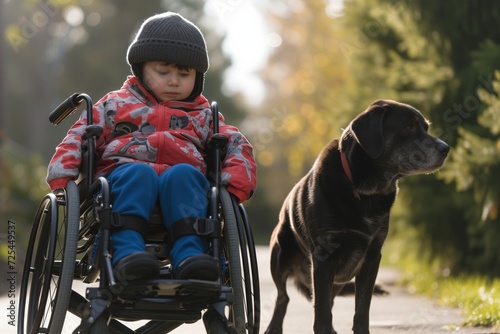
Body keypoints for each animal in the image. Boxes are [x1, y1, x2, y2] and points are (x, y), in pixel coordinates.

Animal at [266, 100, 450, 334]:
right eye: (408, 126)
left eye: (426, 127)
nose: (446, 148)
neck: (365, 191)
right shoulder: (323, 256)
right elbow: (321, 312)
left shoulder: (372, 256)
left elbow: (362, 307)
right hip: (279, 258)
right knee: (283, 297)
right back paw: (273, 327)